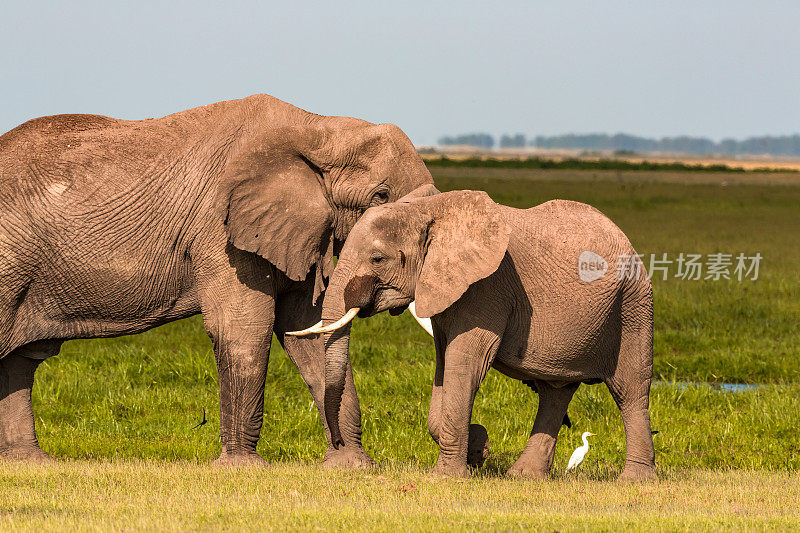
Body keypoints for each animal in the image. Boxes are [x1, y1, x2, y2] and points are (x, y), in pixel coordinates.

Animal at [0, 93, 434, 464]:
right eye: (380, 196)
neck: (321, 128)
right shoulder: (220, 229)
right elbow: (244, 327)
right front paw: (243, 468)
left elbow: (306, 332)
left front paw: (353, 467)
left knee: (20, 362)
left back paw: (32, 463)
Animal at [300, 190, 656, 478]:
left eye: (377, 259)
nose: (338, 441)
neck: (430, 210)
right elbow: (445, 365)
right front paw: (478, 448)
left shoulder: (487, 287)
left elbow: (466, 363)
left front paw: (449, 475)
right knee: (556, 391)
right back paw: (524, 477)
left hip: (633, 304)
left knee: (630, 389)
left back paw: (635, 481)